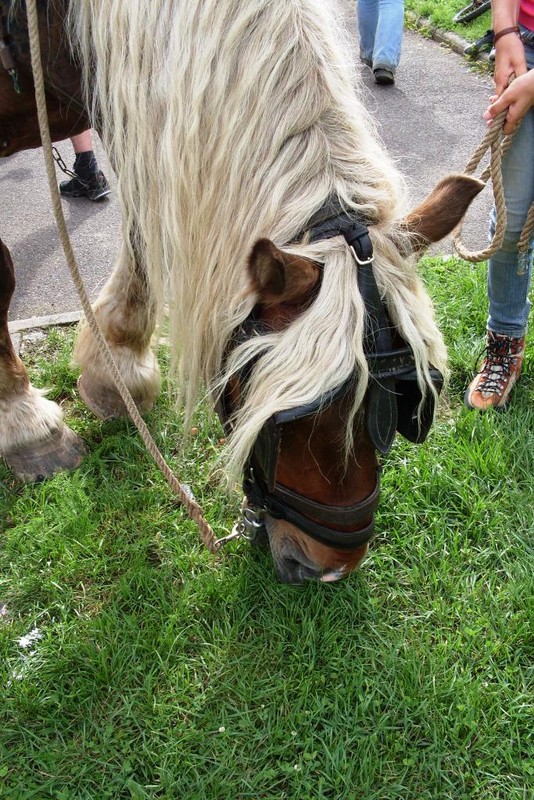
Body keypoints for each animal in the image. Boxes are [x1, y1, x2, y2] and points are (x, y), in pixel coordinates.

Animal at [0, 0, 484, 583]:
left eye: (402, 407)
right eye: (285, 422)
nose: (328, 569)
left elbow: (143, 231)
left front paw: (115, 367)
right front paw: (28, 424)